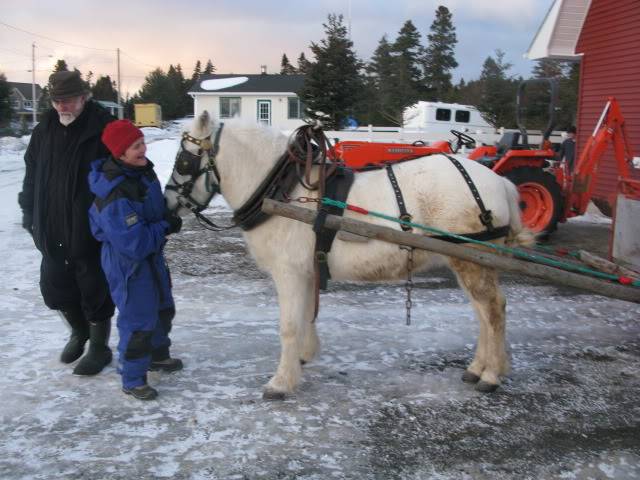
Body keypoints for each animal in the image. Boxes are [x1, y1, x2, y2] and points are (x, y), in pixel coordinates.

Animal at [166, 111, 536, 398]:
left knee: (492, 311)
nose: (168, 203)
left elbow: (288, 325)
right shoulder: (306, 271)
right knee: (484, 312)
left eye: (183, 160)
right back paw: (478, 367)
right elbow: (306, 316)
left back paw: (491, 375)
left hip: (470, 259)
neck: (282, 191)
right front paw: (304, 356)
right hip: (470, 261)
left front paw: (281, 382)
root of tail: (500, 182)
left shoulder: (288, 272)